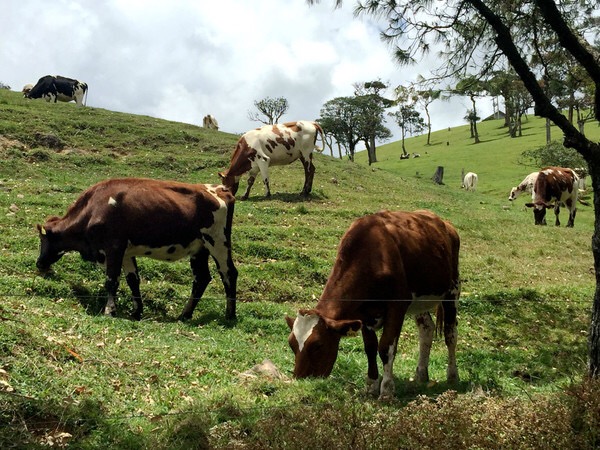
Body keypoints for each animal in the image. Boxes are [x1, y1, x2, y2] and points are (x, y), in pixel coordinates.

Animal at [35, 178, 239, 322]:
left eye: (42, 239)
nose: (39, 263)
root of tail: (221, 189)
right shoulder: (126, 252)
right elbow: (133, 280)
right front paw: (137, 311)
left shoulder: (114, 247)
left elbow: (112, 281)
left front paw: (110, 310)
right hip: (199, 248)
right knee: (201, 278)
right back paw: (185, 314)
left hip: (218, 241)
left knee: (229, 272)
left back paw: (230, 315)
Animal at [286, 209, 460, 400]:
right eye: (291, 344)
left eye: (318, 345)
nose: (299, 379)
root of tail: (445, 224)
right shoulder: (363, 314)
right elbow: (370, 348)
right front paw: (371, 385)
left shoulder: (397, 307)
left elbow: (385, 348)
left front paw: (387, 390)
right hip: (420, 301)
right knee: (426, 329)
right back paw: (421, 373)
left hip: (452, 291)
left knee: (450, 335)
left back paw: (453, 376)